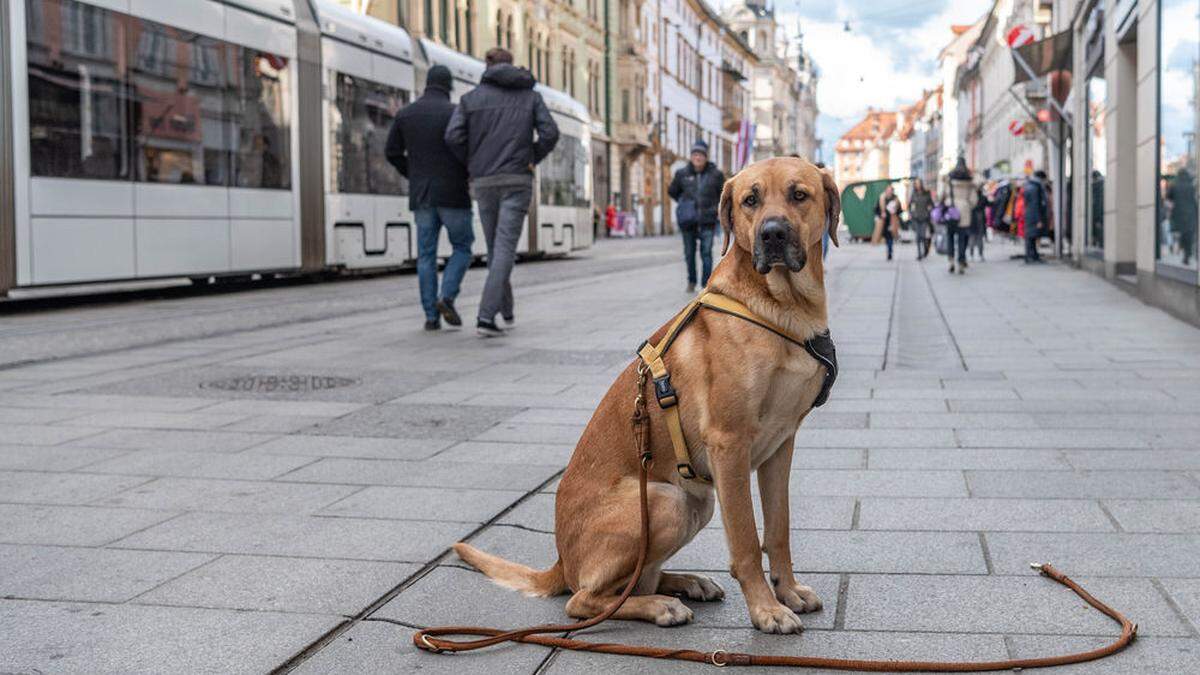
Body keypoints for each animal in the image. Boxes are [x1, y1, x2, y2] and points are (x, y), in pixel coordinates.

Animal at [453, 156, 840, 629]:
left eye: (799, 195)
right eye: (750, 200)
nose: (772, 234)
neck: (781, 308)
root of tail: (561, 561)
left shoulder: (781, 446)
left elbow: (778, 529)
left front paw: (787, 590)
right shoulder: (729, 445)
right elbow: (747, 540)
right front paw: (766, 609)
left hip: (695, 503)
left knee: (637, 580)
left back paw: (687, 583)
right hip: (665, 501)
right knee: (585, 599)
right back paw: (660, 605)